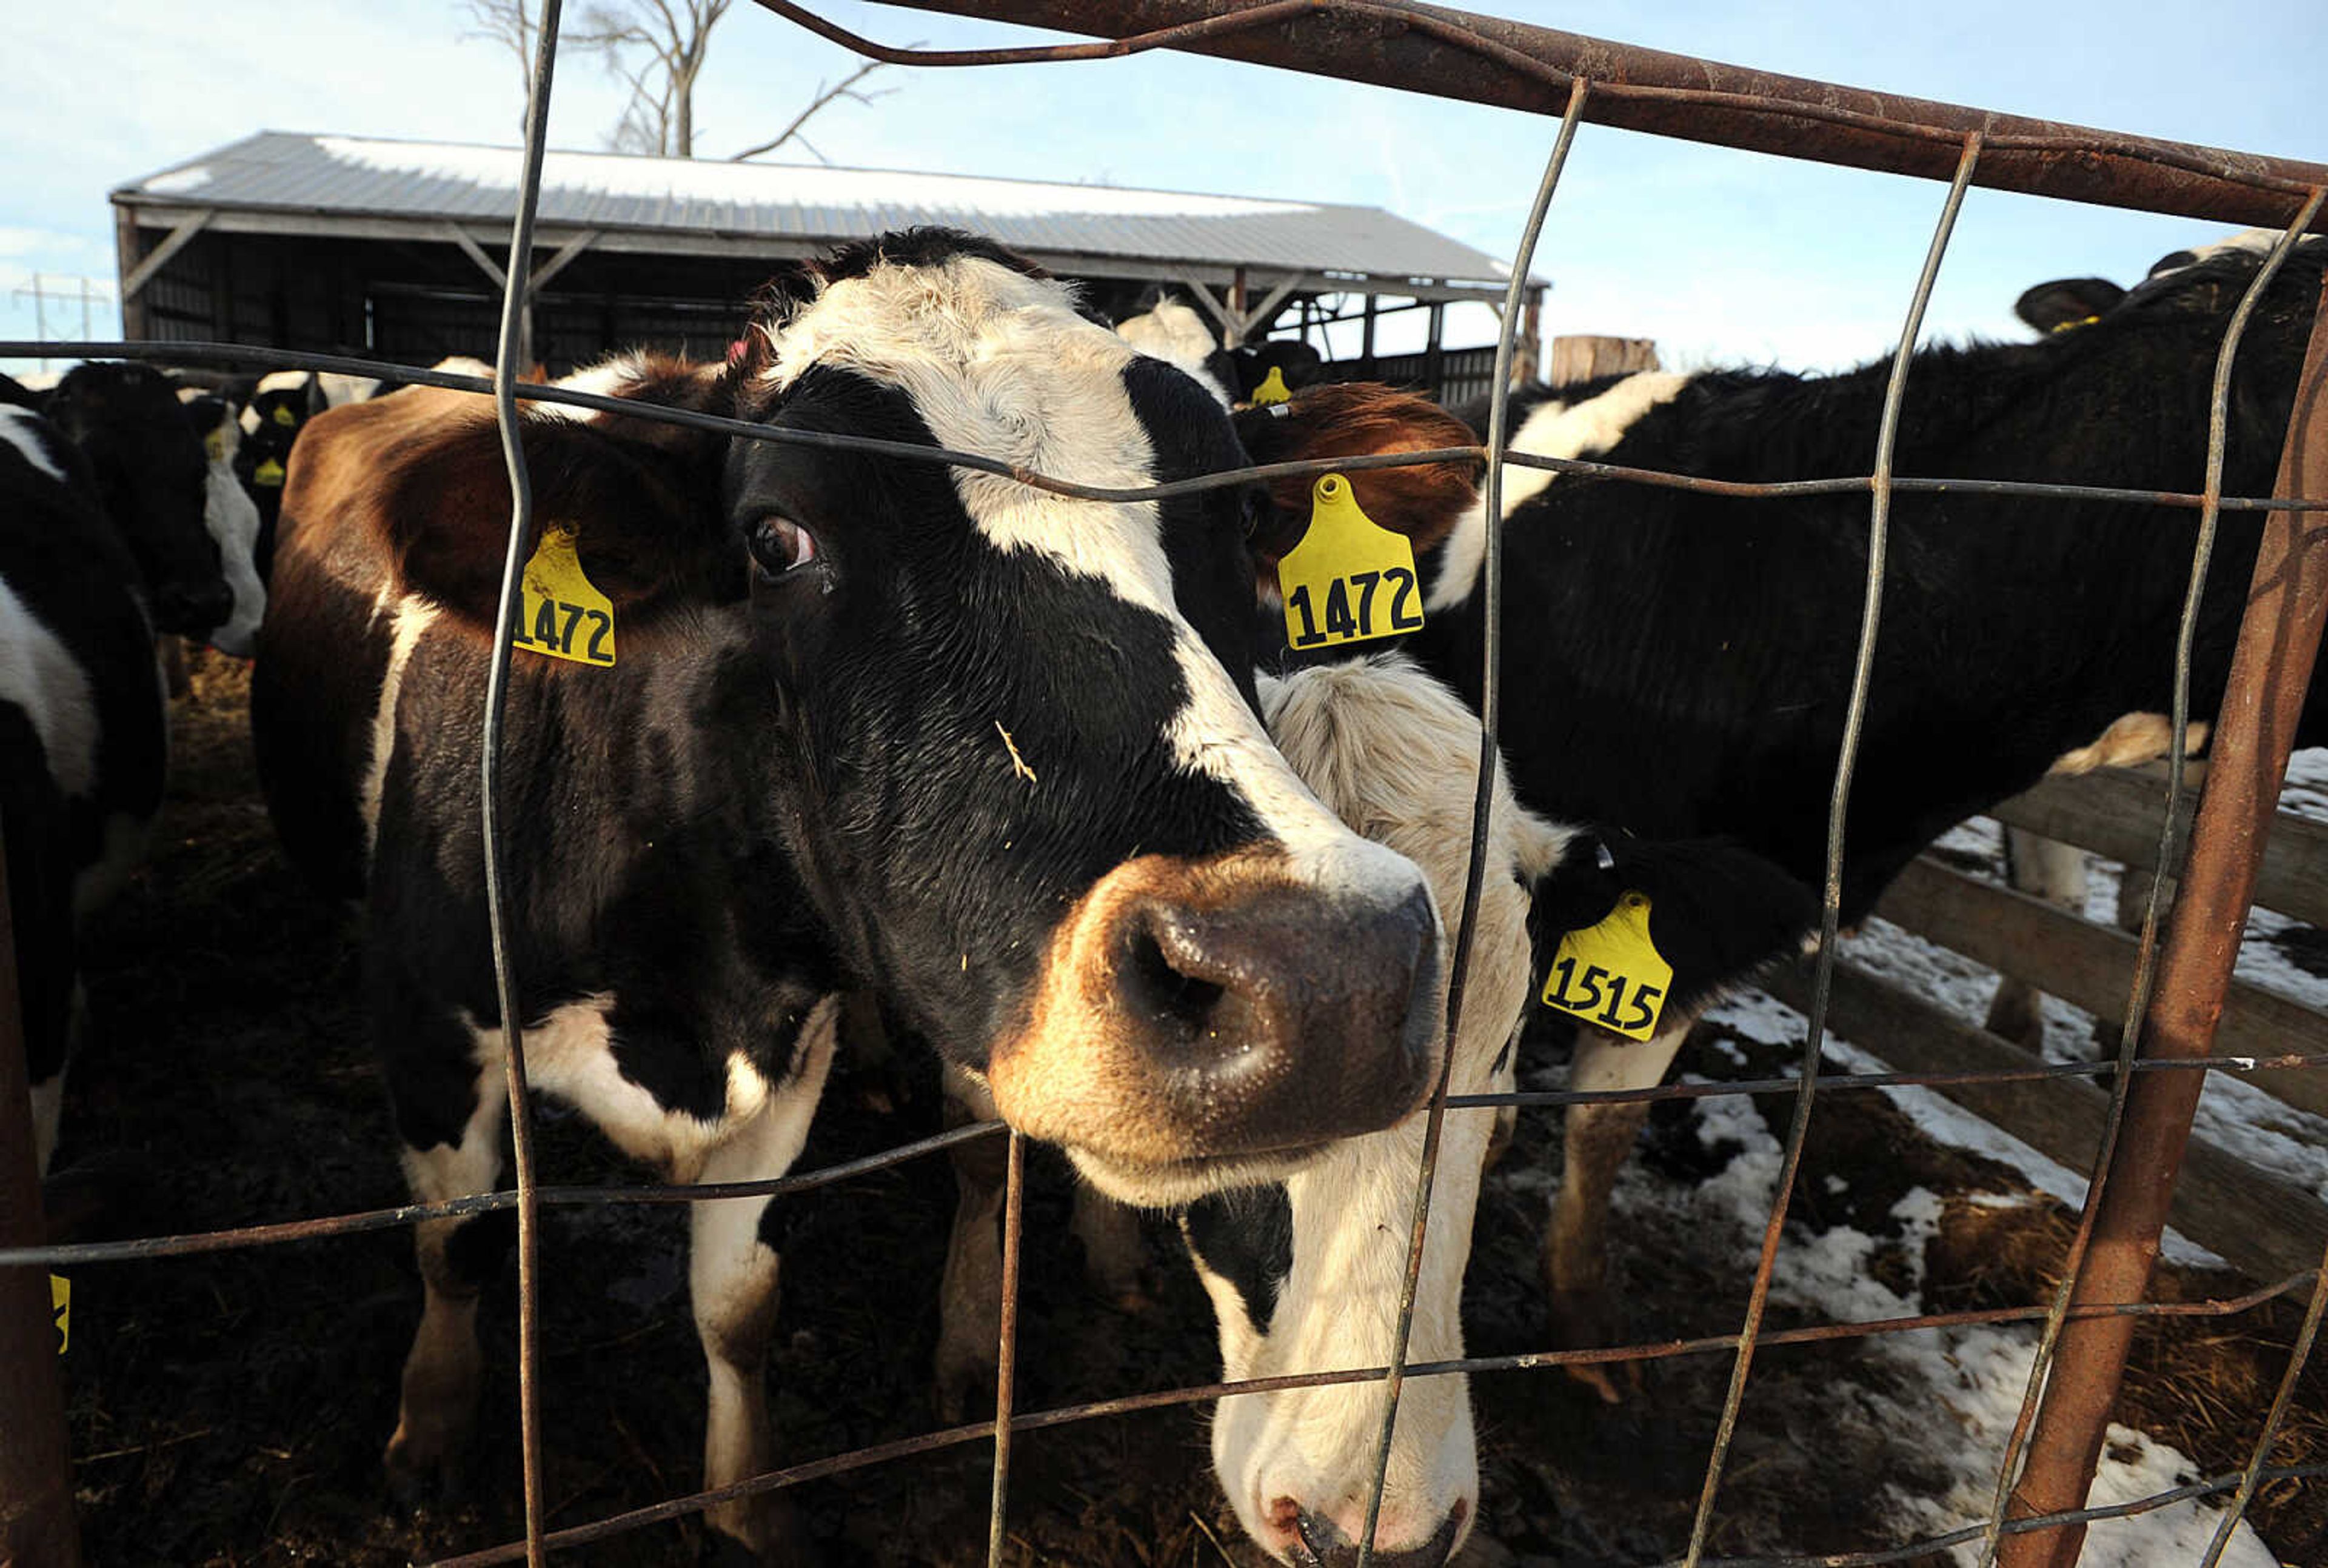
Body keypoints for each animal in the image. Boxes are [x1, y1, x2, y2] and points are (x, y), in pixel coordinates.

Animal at [241, 225, 1471, 1553]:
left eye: (1246, 517)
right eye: (778, 538)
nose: (1321, 979)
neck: (685, 992)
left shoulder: (789, 1047)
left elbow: (738, 1300)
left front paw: (746, 1502)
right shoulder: (428, 1022)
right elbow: (457, 1248)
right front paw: (427, 1439)